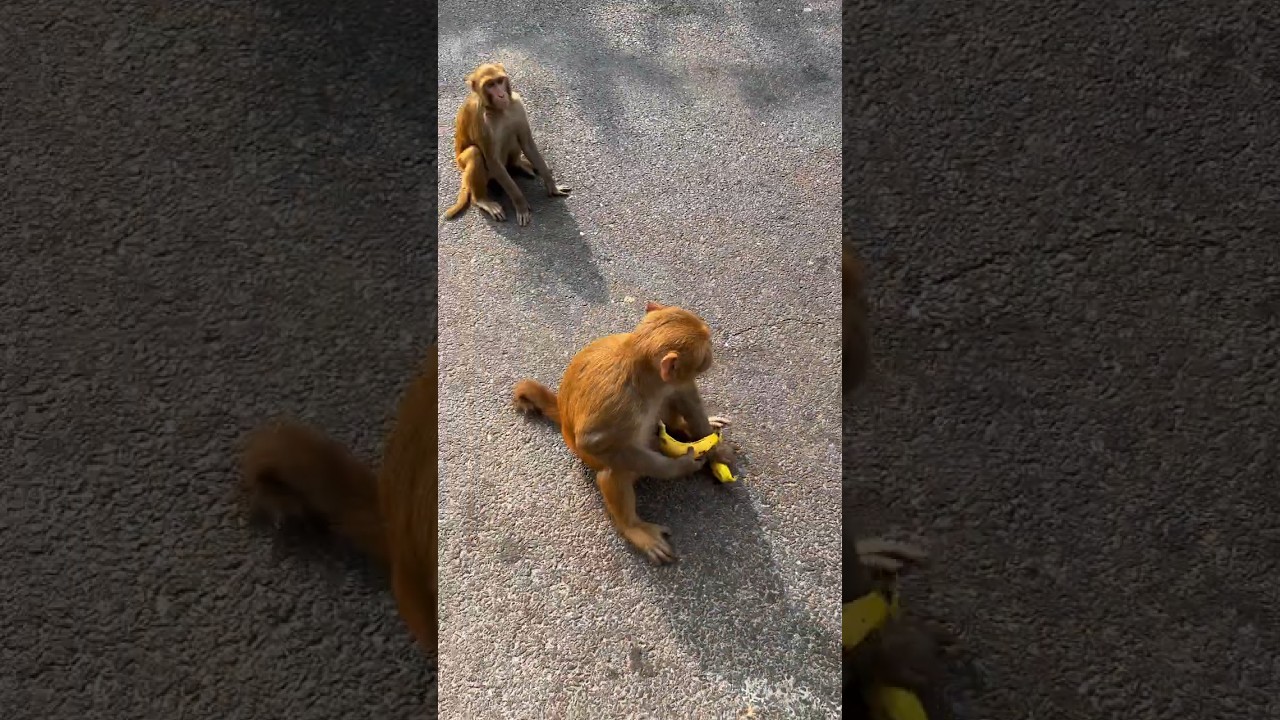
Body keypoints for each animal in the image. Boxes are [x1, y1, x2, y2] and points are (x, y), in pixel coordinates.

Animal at [443, 62, 571, 227]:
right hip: (468, 167)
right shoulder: (480, 121)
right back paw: (482, 200)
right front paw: (521, 204)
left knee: (512, 135)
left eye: (499, 81)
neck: (499, 110)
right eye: (490, 85)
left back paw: (518, 164)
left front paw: (552, 187)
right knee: (474, 152)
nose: (501, 95)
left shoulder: (517, 105)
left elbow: (527, 143)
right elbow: (493, 161)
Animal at [511, 301, 735, 564]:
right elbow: (593, 441)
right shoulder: (620, 402)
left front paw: (715, 448)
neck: (641, 374)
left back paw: (682, 428)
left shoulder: (670, 382)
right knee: (614, 471)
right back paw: (634, 526)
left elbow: (684, 392)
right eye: (705, 346)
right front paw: (678, 466)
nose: (712, 351)